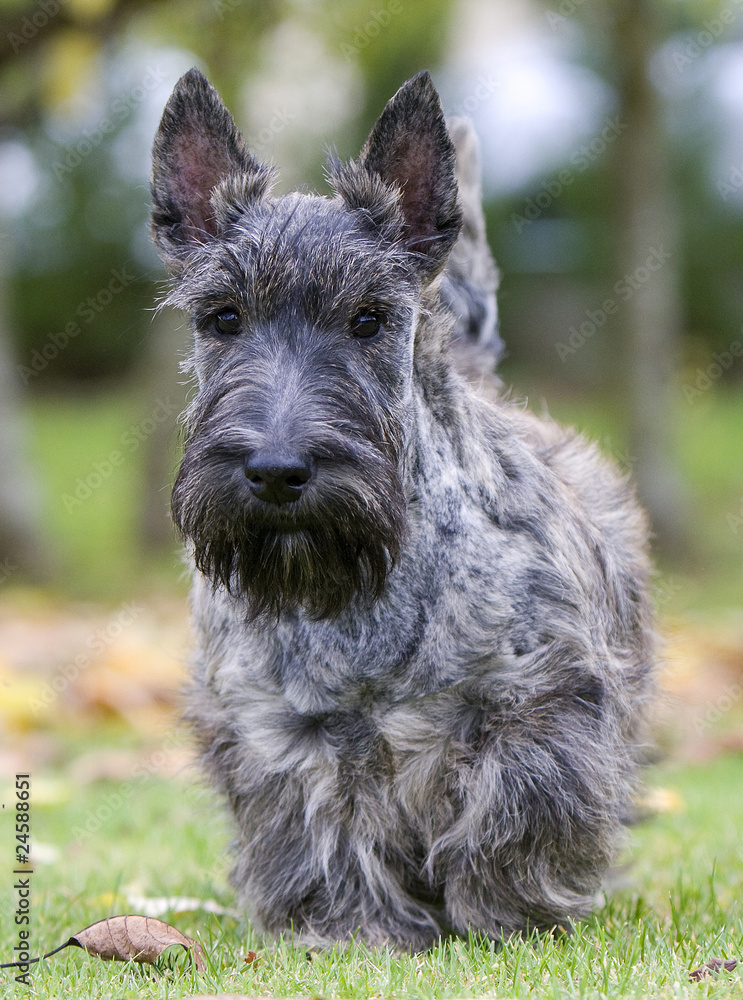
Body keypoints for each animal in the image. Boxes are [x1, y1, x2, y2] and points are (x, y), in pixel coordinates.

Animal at [151, 68, 656, 944]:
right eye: (222, 318)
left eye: (369, 319)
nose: (276, 471)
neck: (360, 591)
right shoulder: (287, 730)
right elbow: (327, 830)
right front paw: (352, 926)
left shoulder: (535, 701)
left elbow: (513, 810)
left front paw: (504, 913)